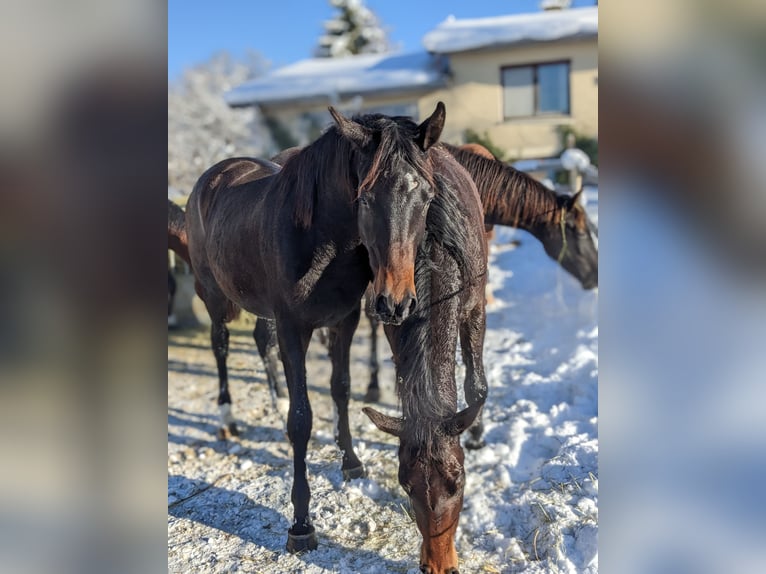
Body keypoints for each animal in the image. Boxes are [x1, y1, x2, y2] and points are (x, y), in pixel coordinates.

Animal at [184, 102, 486, 568]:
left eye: (426, 195)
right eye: (364, 196)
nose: (395, 301)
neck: (320, 242)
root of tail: (214, 174)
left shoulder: (345, 320)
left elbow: (341, 388)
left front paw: (352, 462)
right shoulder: (295, 329)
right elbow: (302, 420)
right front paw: (301, 524)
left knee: (261, 343)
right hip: (213, 295)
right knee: (220, 348)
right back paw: (227, 420)